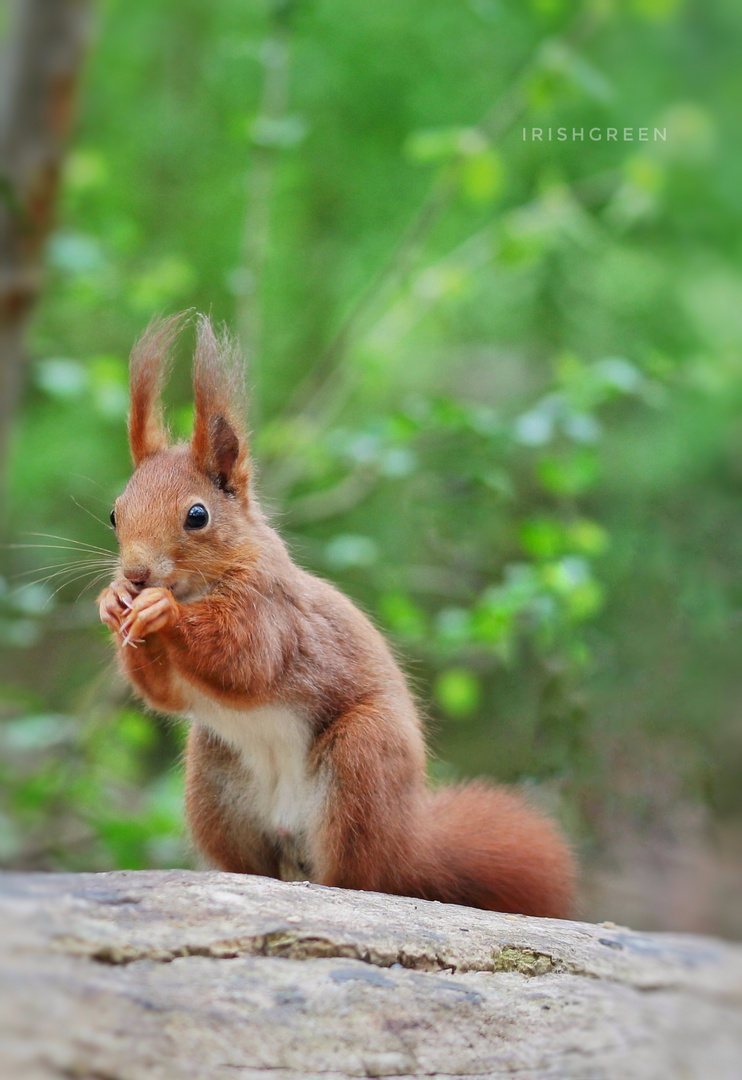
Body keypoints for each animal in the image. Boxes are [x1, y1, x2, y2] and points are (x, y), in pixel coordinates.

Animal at [97, 315, 574, 915]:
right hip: (213, 780)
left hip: (362, 759)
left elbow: (245, 658)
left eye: (197, 516)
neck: (199, 586)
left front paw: (161, 610)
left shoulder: (271, 610)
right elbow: (167, 695)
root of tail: (408, 845)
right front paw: (112, 602)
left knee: (359, 875)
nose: (137, 574)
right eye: (114, 514)